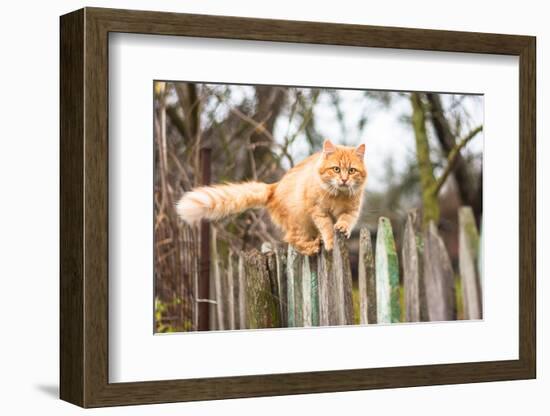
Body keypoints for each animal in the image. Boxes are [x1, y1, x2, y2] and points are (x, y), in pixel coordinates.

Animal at [177, 140, 366, 255]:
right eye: (336, 169)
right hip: (299, 222)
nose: (344, 180)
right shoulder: (318, 210)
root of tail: (274, 187)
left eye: (351, 171)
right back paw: (312, 247)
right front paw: (330, 242)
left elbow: (346, 220)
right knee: (293, 240)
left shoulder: (352, 211)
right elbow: (326, 227)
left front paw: (342, 228)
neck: (338, 196)